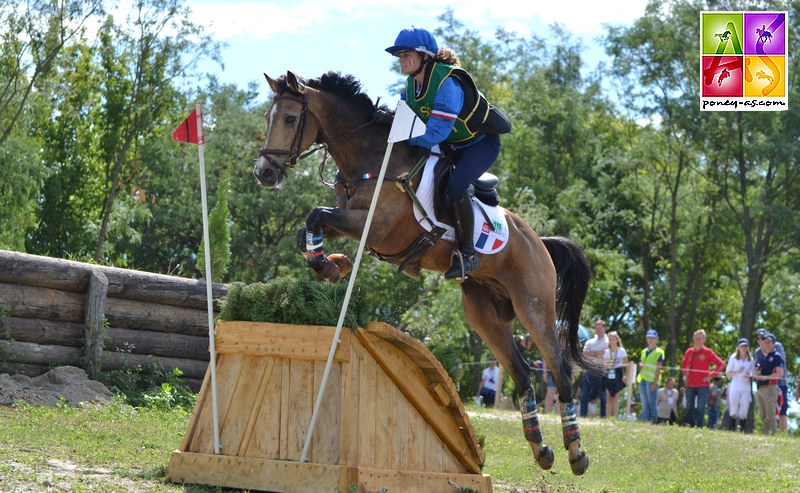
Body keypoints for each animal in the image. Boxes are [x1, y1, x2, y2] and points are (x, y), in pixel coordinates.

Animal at [253, 71, 596, 474]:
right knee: (523, 372)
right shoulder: (351, 220)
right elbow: (309, 225)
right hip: (486, 315)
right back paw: (541, 449)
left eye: (291, 119)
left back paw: (576, 452)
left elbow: (315, 215)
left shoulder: (377, 228)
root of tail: (538, 242)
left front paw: (329, 265)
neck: (373, 160)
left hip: (533, 304)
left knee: (560, 369)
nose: (264, 173)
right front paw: (331, 265)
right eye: (268, 118)